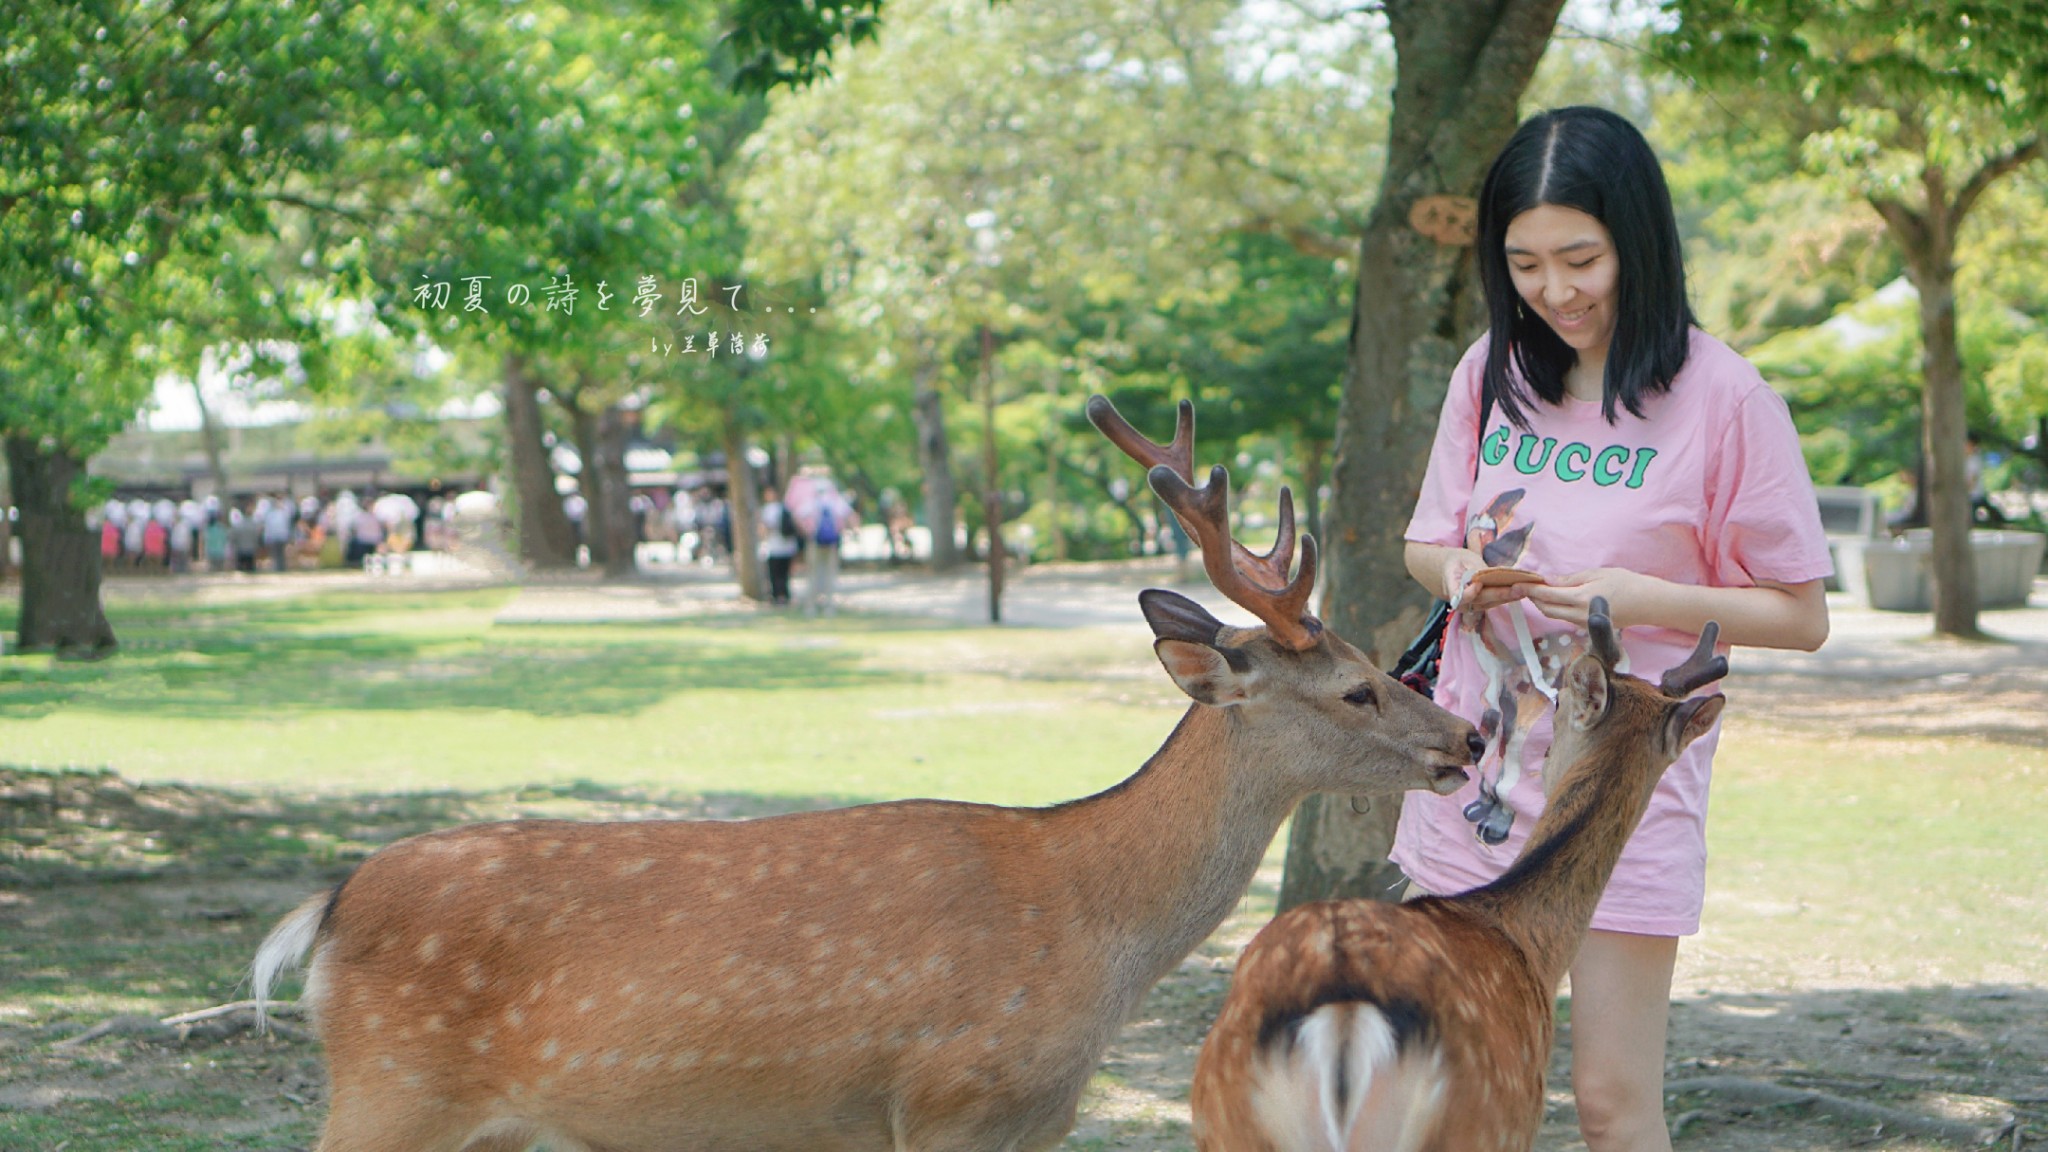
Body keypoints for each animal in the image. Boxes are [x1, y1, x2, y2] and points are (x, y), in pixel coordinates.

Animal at [256, 391, 1482, 1147]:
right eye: (1356, 688)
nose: (1466, 740)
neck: (1093, 934)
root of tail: (327, 909)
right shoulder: (948, 1099)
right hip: (389, 1089)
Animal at [1196, 602, 1720, 1147]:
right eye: (1557, 705)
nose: (1544, 757)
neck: (1529, 943)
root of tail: (1343, 1021)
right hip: (1478, 1122)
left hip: (1223, 1120)